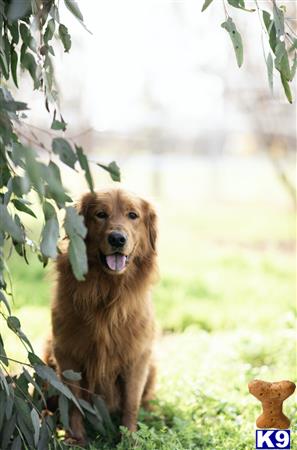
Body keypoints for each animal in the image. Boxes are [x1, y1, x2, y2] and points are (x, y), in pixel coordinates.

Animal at [43, 188, 157, 444]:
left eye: (132, 215)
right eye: (101, 214)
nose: (117, 239)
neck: (107, 293)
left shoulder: (137, 356)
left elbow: (131, 403)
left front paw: (130, 440)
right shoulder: (68, 354)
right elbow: (73, 402)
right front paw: (76, 439)